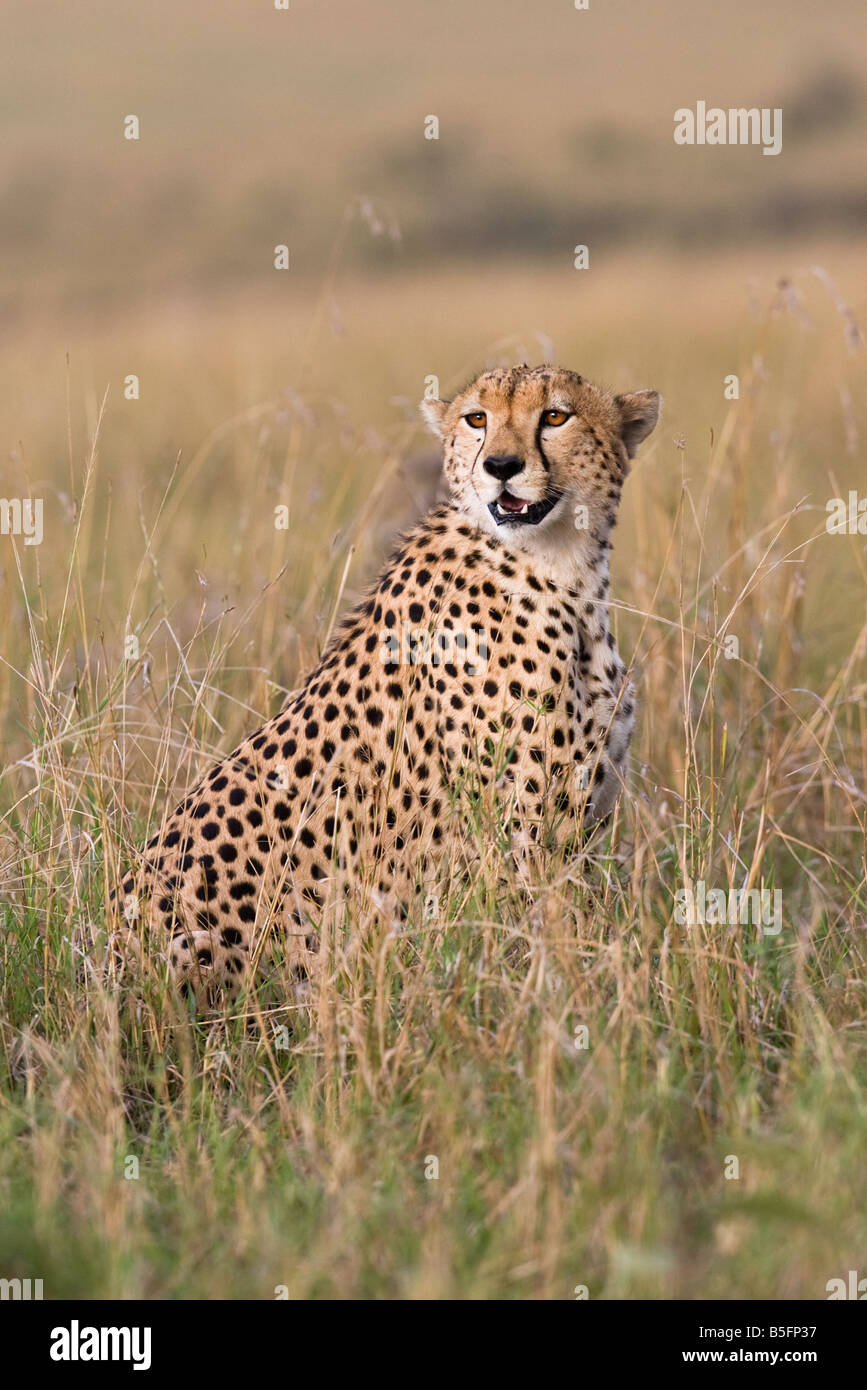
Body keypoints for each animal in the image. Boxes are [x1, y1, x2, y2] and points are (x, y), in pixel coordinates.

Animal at [111, 364, 661, 1006]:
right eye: (477, 418)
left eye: (555, 416)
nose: (500, 465)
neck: (564, 571)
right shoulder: (527, 837)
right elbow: (559, 943)